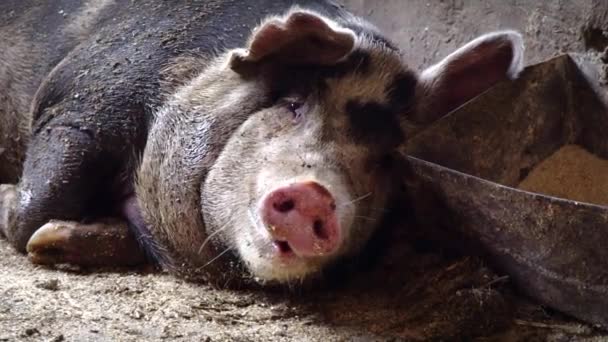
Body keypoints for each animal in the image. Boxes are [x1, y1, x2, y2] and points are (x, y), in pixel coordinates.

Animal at [0, 0, 524, 286]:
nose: (315, 193)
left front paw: (52, 239)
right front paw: (11, 202)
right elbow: (36, 207)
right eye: (292, 103)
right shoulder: (83, 101)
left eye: (386, 157)